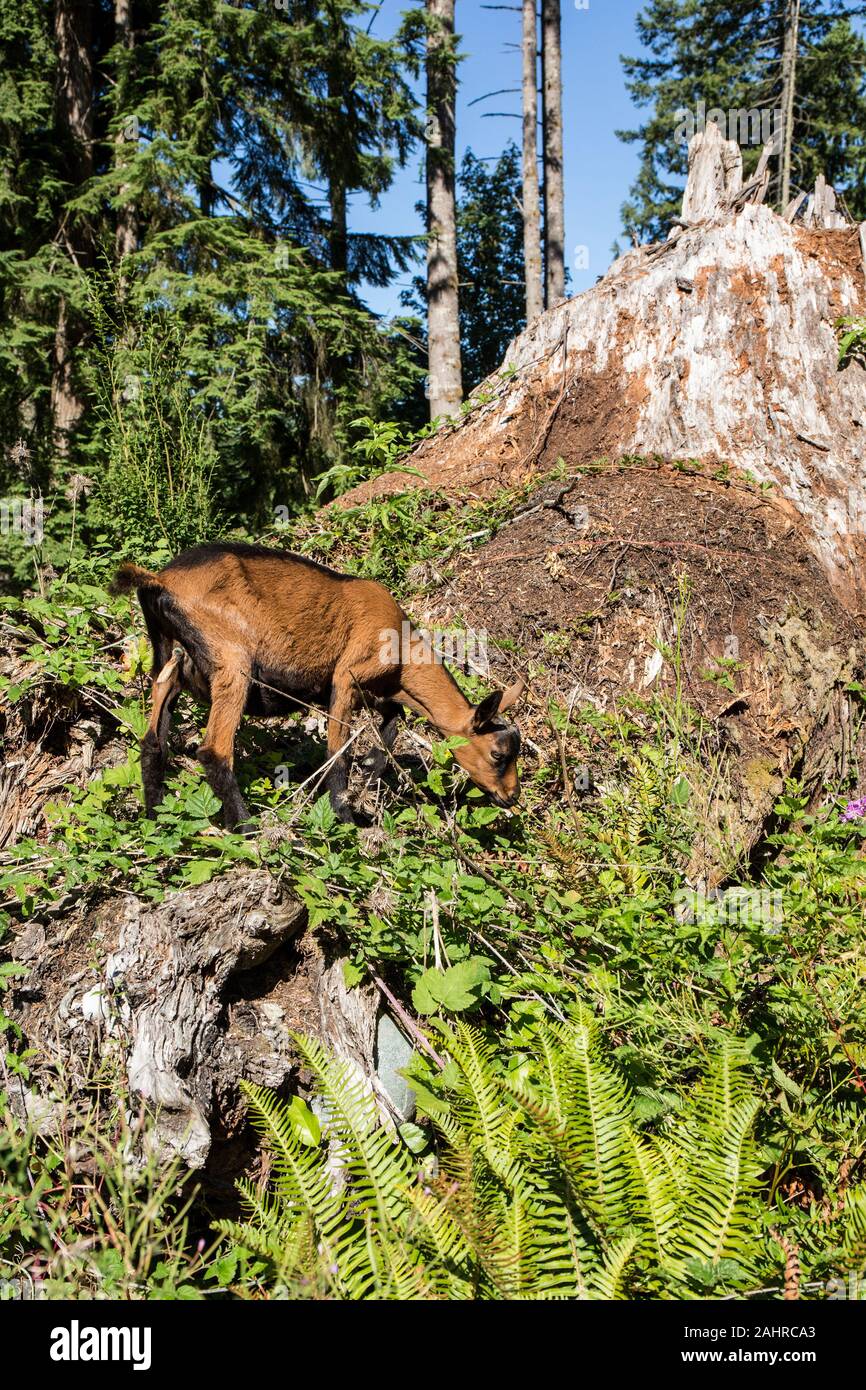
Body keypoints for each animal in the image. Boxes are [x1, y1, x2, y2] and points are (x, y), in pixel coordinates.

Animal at [111, 539, 525, 822]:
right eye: (498, 754)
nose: (512, 796)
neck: (403, 651)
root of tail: (160, 580)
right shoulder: (347, 677)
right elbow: (337, 754)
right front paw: (346, 819)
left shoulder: (377, 693)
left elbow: (393, 722)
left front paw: (372, 770)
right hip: (232, 661)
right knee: (214, 749)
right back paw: (246, 829)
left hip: (170, 658)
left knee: (154, 736)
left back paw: (156, 817)